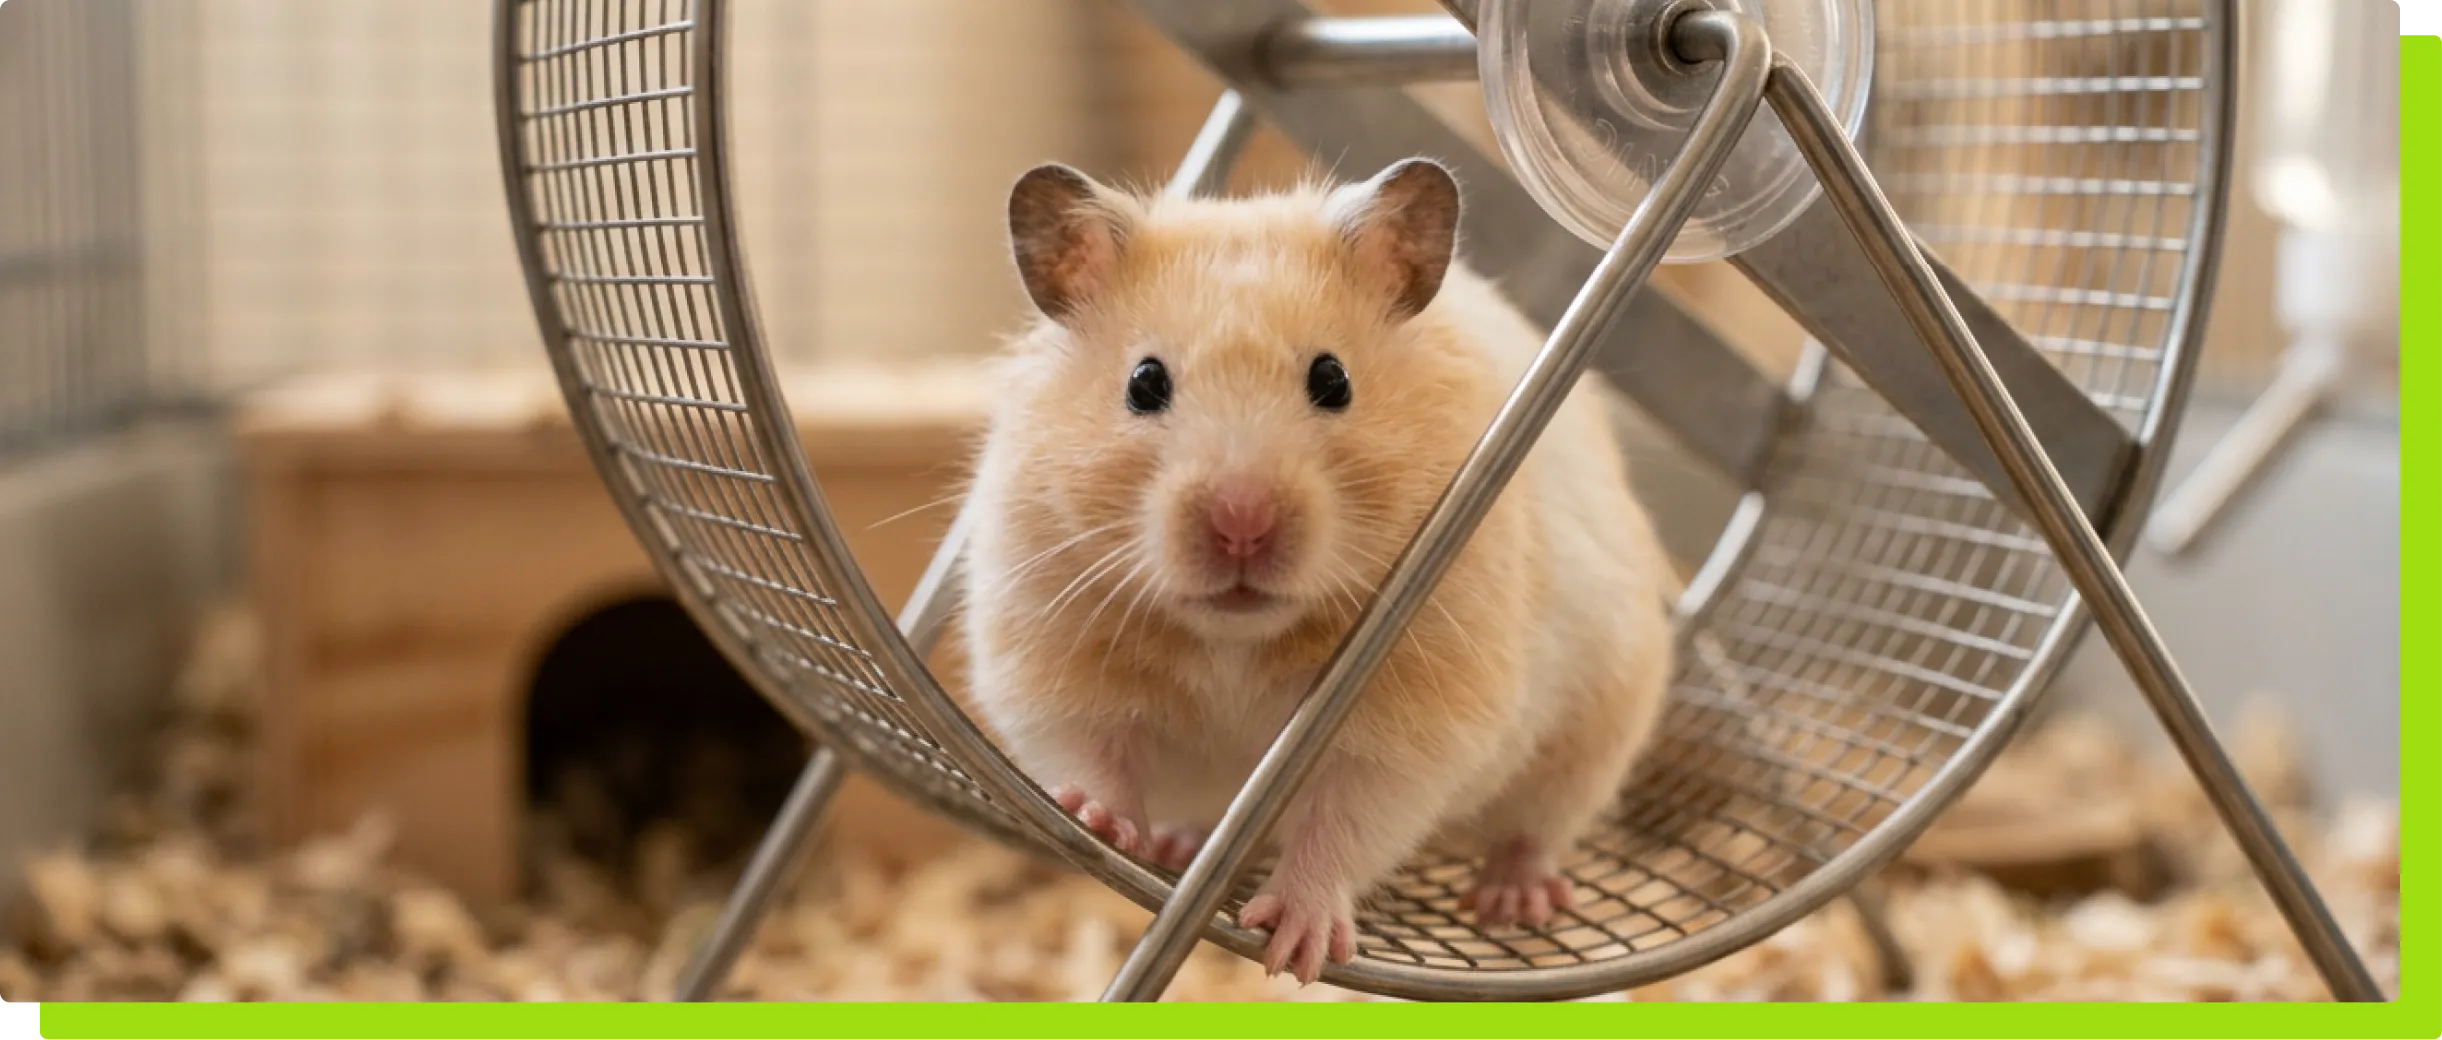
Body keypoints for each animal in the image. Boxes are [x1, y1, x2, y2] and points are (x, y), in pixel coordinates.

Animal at [956, 157, 1676, 985]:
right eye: (1143, 383)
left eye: (1333, 381)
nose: (1241, 524)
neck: (1234, 639)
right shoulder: (1049, 653)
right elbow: (1088, 750)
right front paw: (1095, 823)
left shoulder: (1412, 724)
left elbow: (1344, 823)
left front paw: (1293, 951)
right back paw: (1172, 840)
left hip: (1598, 729)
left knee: (1535, 830)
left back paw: (1514, 901)